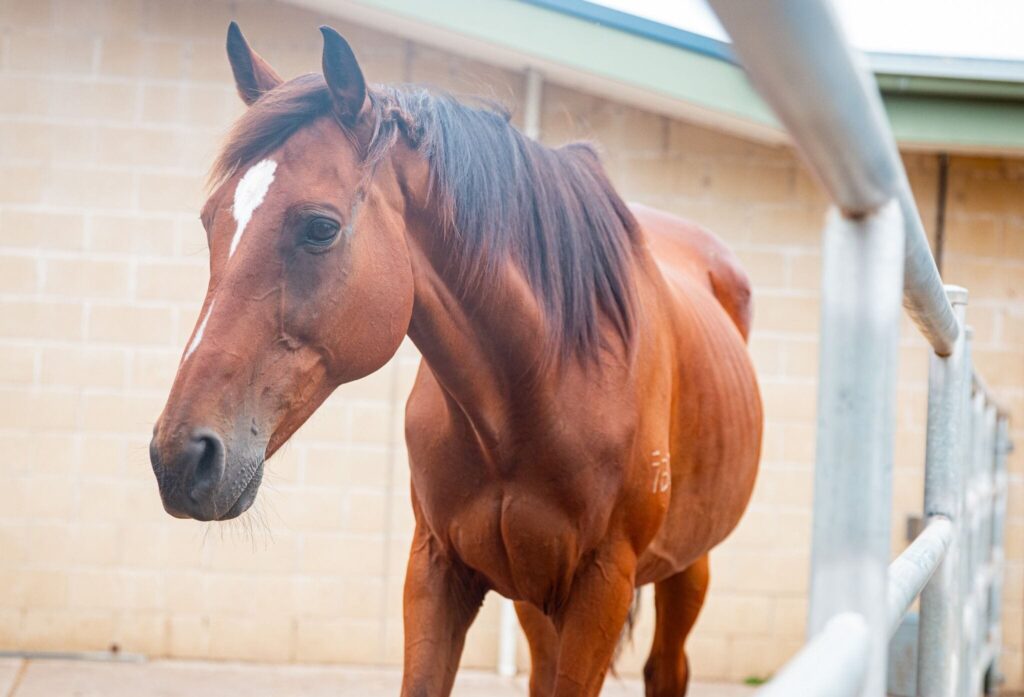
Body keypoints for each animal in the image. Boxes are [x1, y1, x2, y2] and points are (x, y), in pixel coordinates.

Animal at [148, 23, 762, 697]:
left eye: (319, 227)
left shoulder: (601, 586)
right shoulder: (437, 571)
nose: (179, 458)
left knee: (667, 667)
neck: (539, 387)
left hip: (687, 568)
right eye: (210, 221)